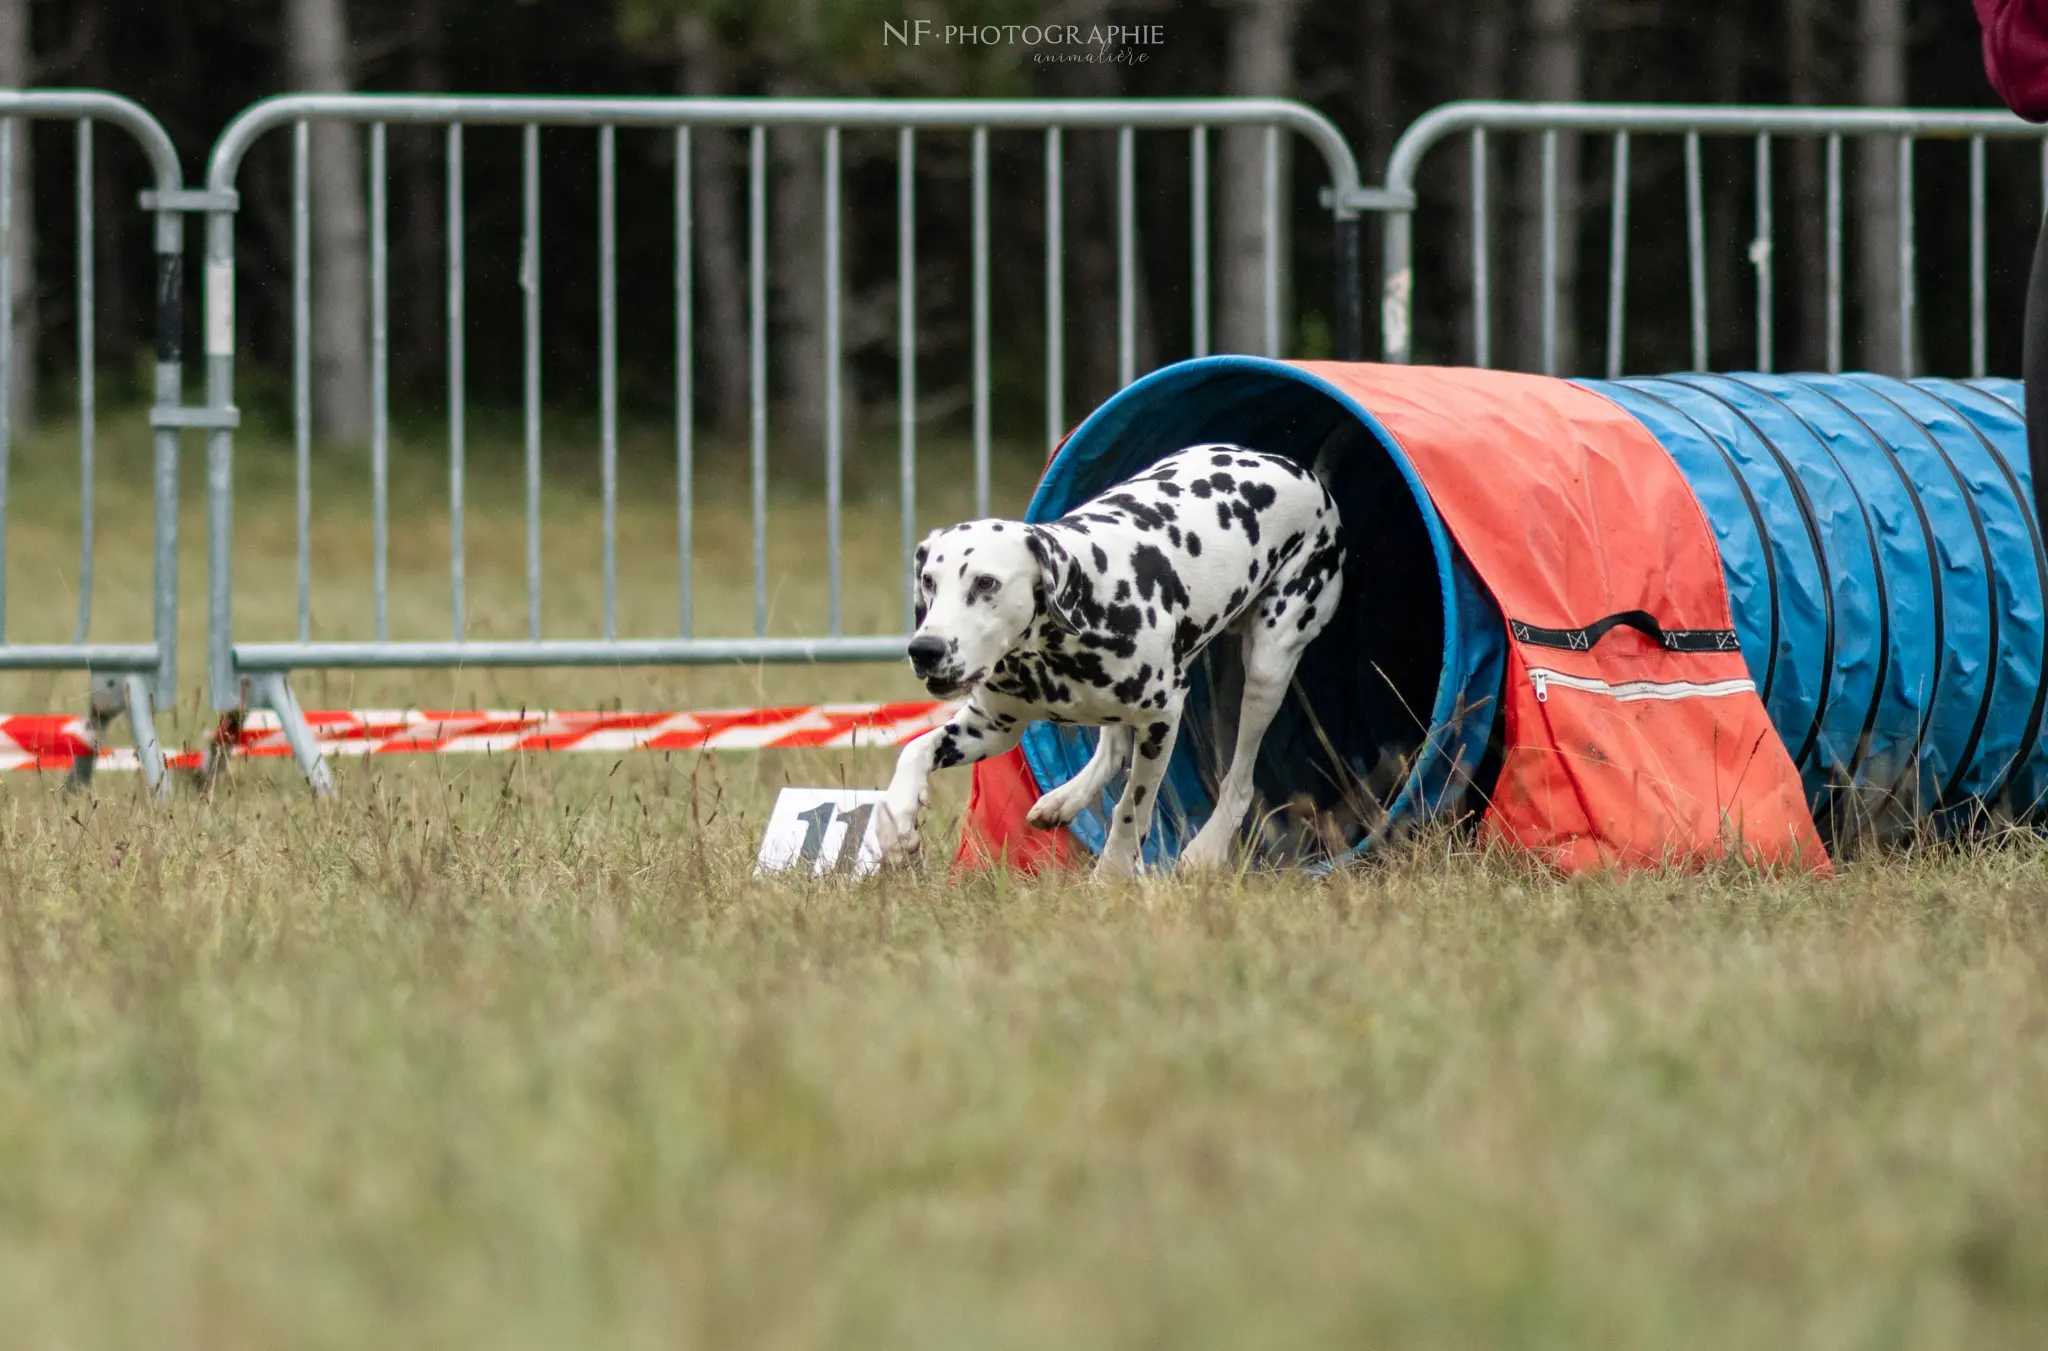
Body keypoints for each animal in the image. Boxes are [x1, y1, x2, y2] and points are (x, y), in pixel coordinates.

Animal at [876, 446, 1343, 876]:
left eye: (986, 582)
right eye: (928, 581)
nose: (925, 650)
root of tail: (1302, 471)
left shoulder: (1162, 720)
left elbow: (1130, 809)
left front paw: (1111, 876)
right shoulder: (992, 728)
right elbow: (915, 749)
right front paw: (896, 826)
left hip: (1267, 668)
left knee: (1241, 778)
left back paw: (1206, 850)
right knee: (1114, 746)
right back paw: (1064, 798)